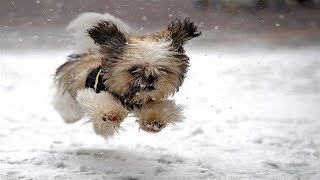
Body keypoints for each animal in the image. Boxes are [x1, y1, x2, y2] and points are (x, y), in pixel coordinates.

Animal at [53, 12, 201, 137]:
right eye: (134, 70)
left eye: (163, 69)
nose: (150, 78)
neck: (131, 99)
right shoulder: (92, 93)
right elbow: (103, 102)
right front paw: (111, 113)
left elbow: (161, 107)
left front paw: (154, 121)